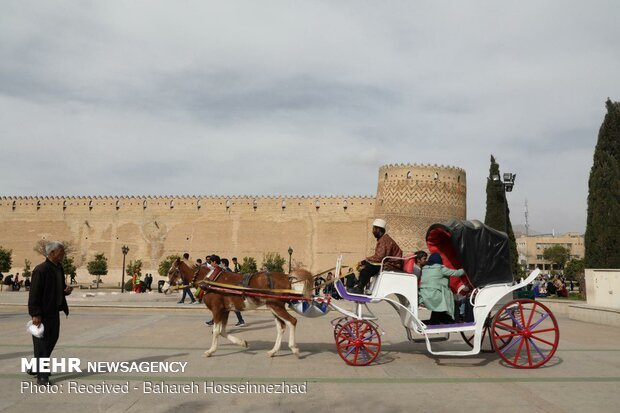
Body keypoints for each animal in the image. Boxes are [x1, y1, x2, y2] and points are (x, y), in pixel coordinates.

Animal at [165, 260, 312, 356]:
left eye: (171, 271)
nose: (164, 289)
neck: (209, 280)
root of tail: (287, 276)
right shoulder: (225, 310)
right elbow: (222, 331)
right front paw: (243, 343)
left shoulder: (217, 309)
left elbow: (216, 331)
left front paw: (211, 350)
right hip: (274, 307)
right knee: (281, 327)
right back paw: (273, 351)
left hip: (275, 306)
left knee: (292, 321)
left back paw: (294, 348)